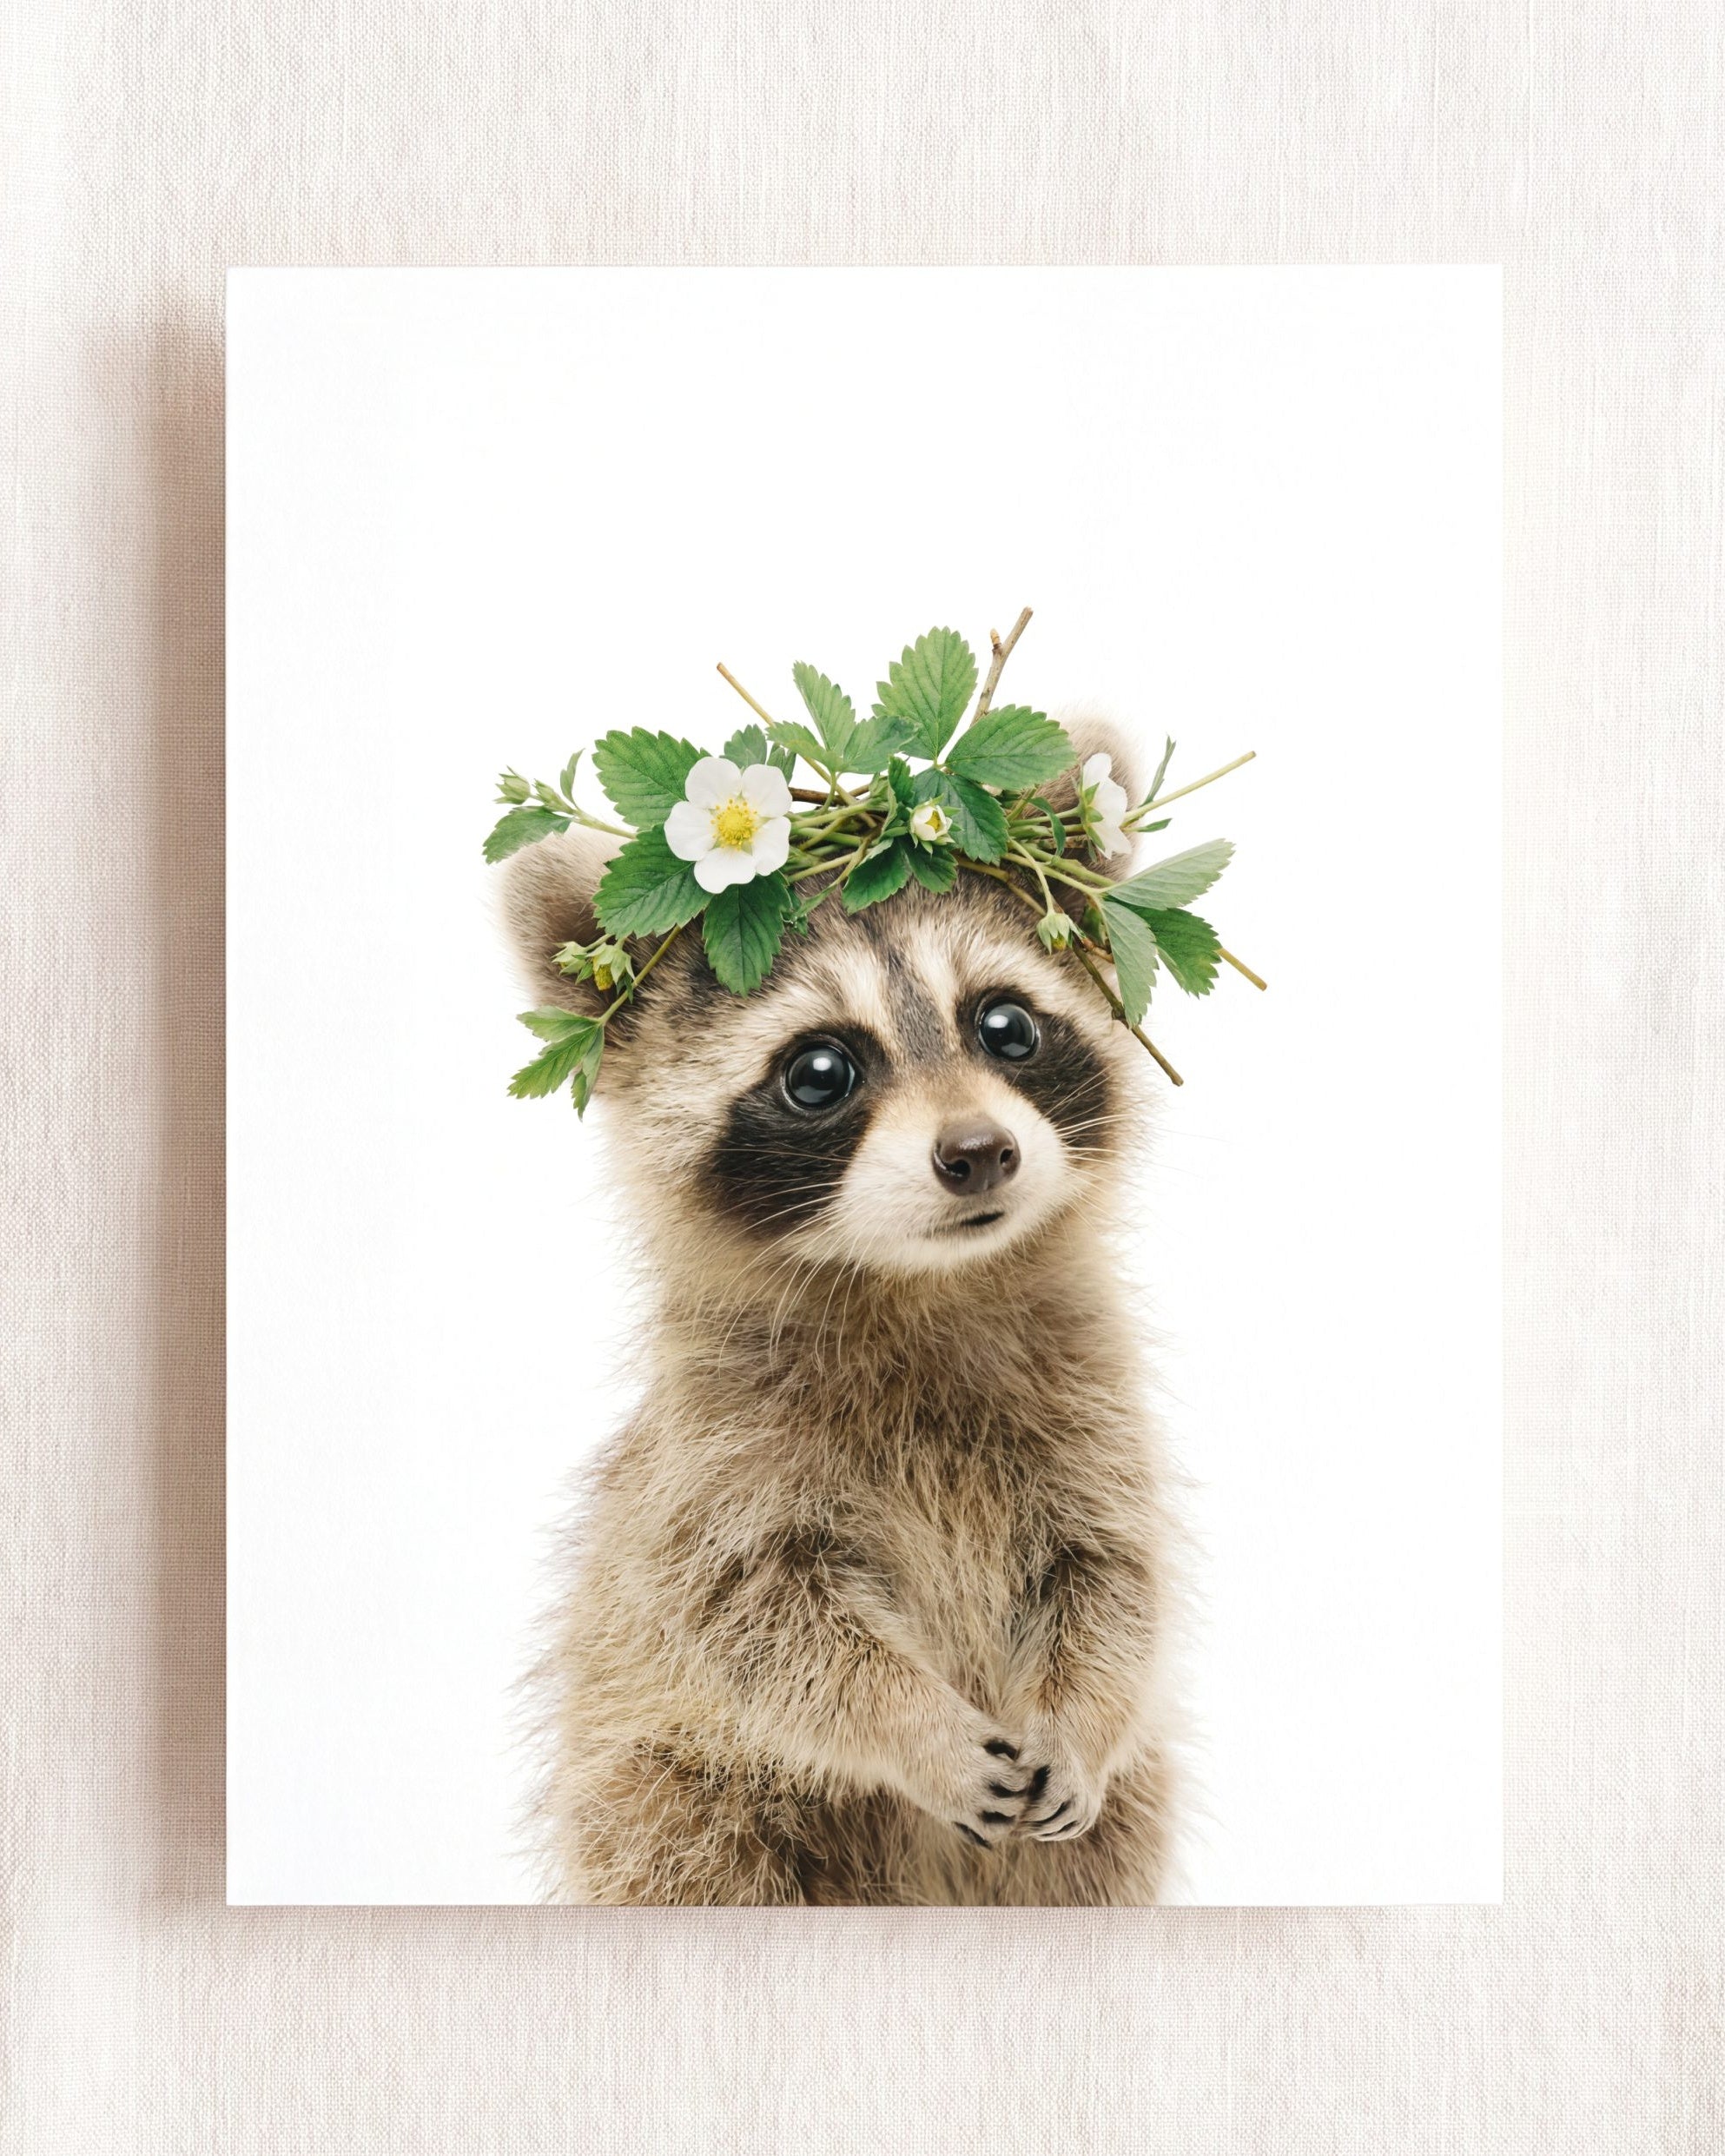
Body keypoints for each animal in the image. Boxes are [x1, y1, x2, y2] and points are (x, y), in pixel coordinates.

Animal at [502, 721, 1183, 1905]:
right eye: (821, 1070)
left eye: (1006, 1024)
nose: (978, 1152)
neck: (922, 1284)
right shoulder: (714, 1462)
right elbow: (760, 1624)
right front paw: (914, 1726)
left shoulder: (1090, 1410)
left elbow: (1112, 1577)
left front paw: (1081, 1714)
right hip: (672, 1792)